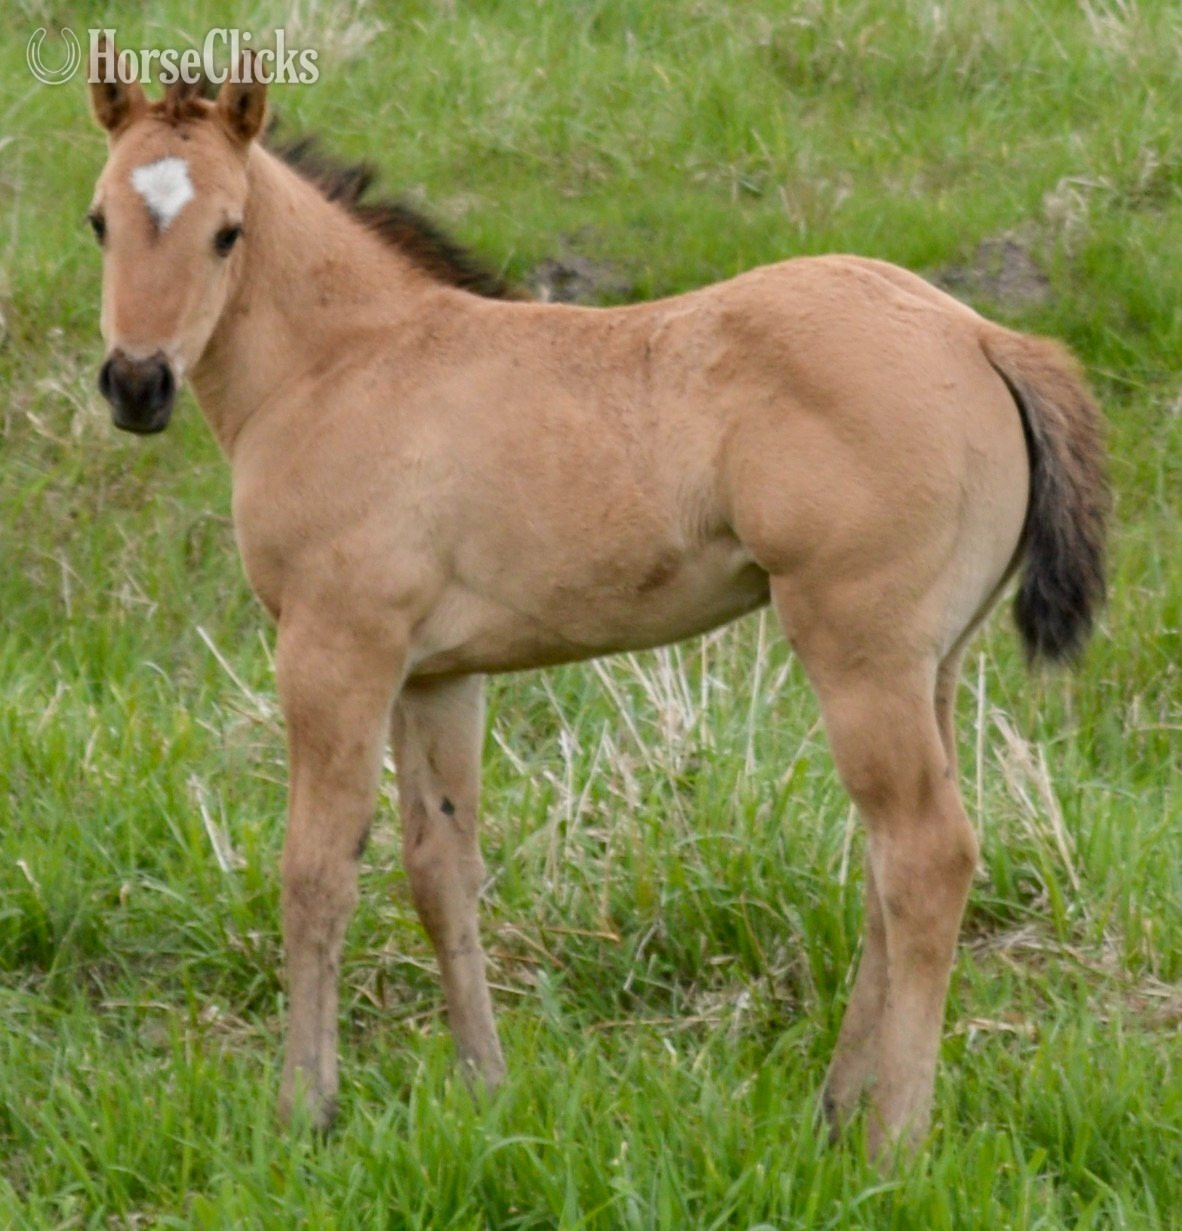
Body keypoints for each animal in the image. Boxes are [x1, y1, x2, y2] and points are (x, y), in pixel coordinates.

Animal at [85, 55, 1108, 1156]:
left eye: (227, 230)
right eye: (100, 220)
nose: (136, 383)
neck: (346, 363)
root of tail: (980, 333)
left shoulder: (335, 649)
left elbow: (316, 871)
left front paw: (302, 1111)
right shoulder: (439, 675)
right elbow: (442, 869)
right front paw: (484, 1089)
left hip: (862, 654)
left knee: (925, 855)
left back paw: (891, 1142)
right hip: (936, 664)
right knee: (891, 864)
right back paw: (836, 1109)